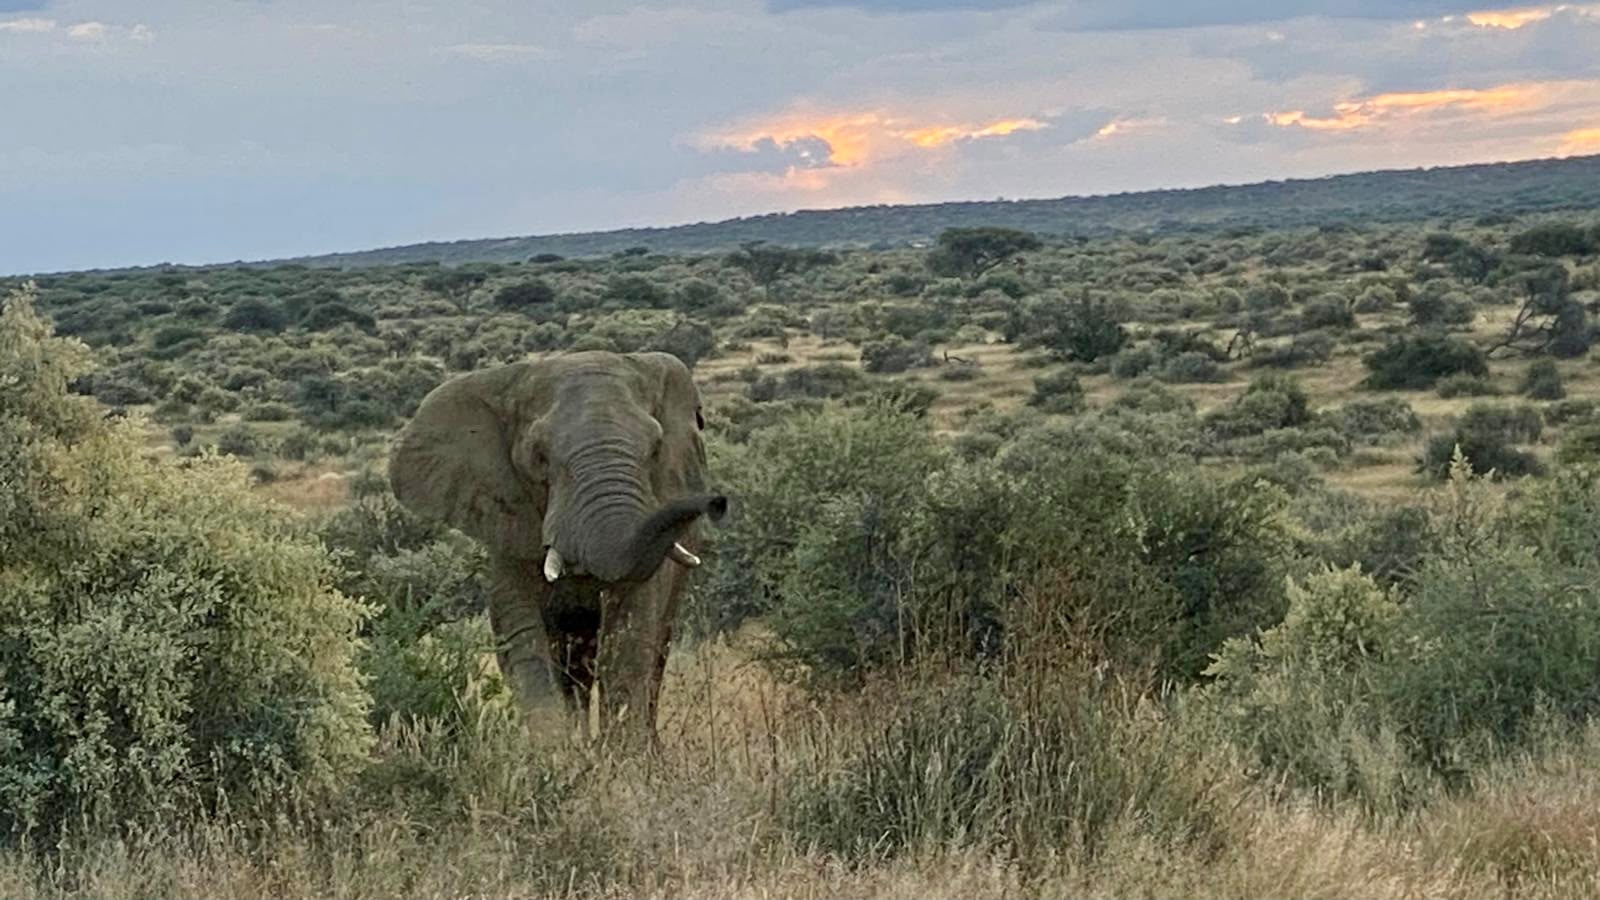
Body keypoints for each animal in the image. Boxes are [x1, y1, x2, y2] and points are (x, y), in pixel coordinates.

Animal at [387, 350, 725, 741]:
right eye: (538, 457)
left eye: (656, 449)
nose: (718, 503)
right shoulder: (509, 534)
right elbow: (523, 638)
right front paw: (555, 753)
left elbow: (629, 635)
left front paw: (624, 753)